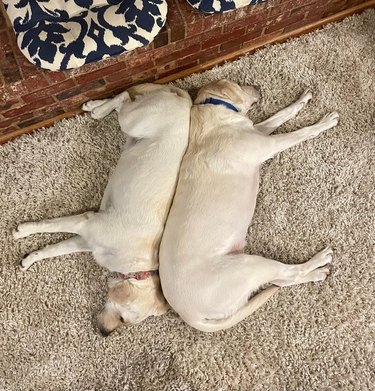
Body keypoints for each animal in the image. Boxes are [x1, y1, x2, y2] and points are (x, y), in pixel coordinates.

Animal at [13, 82, 192, 336]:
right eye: (124, 318)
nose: (104, 334)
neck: (135, 264)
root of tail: (183, 98)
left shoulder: (86, 240)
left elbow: (51, 250)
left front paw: (28, 260)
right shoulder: (85, 222)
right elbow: (47, 225)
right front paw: (23, 231)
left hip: (135, 128)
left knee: (125, 99)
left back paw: (94, 106)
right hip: (134, 121)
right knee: (124, 96)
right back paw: (98, 110)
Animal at [159, 79, 340, 334]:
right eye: (238, 84)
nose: (256, 86)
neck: (211, 111)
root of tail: (188, 314)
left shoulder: (259, 131)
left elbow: (280, 115)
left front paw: (300, 101)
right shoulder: (269, 143)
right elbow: (300, 132)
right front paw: (322, 123)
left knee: (284, 280)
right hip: (249, 265)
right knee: (288, 273)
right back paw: (319, 262)